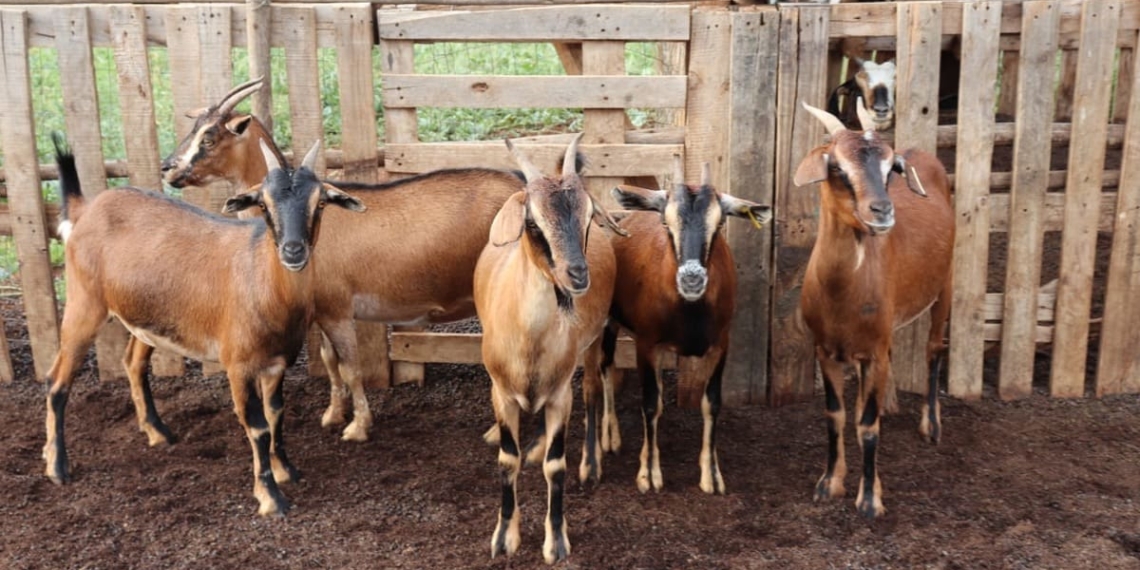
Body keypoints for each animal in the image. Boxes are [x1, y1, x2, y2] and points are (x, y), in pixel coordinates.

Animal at [43, 134, 364, 517]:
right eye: (264, 203)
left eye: (319, 203)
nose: (293, 251)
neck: (262, 281)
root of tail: (86, 209)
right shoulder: (238, 365)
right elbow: (257, 426)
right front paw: (270, 498)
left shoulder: (276, 364)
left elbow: (276, 414)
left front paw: (285, 470)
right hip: (84, 304)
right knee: (57, 381)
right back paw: (57, 467)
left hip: (145, 318)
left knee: (132, 363)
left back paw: (158, 433)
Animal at [157, 79, 539, 443]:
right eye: (194, 128)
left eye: (209, 137)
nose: (167, 168)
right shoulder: (322, 310)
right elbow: (330, 362)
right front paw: (332, 414)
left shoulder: (339, 309)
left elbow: (352, 367)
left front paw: (358, 427)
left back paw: (497, 433)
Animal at [475, 134, 624, 564]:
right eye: (532, 222)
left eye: (588, 218)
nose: (577, 275)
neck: (528, 341)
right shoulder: (501, 392)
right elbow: (507, 459)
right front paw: (504, 536)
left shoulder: (560, 394)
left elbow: (556, 466)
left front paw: (556, 541)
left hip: (594, 342)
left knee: (592, 390)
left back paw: (591, 463)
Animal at [577, 158, 771, 495]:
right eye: (666, 223)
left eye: (719, 224)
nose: (691, 279)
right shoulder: (646, 344)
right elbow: (649, 404)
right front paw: (648, 474)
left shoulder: (721, 344)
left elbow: (711, 403)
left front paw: (712, 475)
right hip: (605, 322)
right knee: (600, 372)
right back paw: (603, 445)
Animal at [792, 100, 953, 518]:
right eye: (836, 166)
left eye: (890, 167)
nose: (881, 211)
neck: (840, 296)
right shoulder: (826, 350)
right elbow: (835, 415)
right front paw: (829, 482)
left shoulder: (873, 353)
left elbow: (867, 426)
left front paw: (868, 499)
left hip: (945, 284)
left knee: (934, 349)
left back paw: (932, 427)